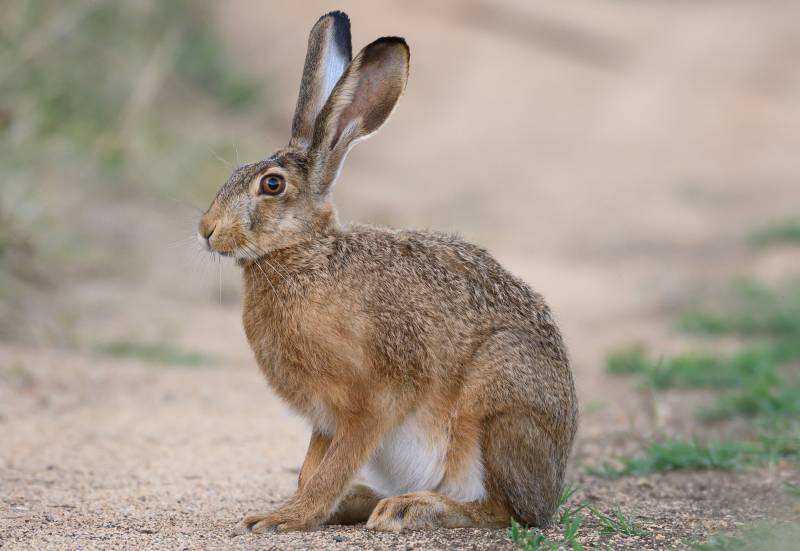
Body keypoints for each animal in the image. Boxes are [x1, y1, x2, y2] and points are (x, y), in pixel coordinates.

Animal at [198, 11, 577, 533]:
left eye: (271, 185)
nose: (206, 230)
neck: (307, 253)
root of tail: (553, 484)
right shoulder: (325, 419)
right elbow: (312, 467)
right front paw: (299, 510)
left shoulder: (373, 399)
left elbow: (330, 468)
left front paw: (284, 518)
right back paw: (365, 502)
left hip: (498, 404)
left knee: (507, 510)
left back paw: (410, 507)